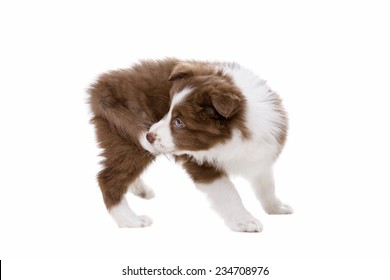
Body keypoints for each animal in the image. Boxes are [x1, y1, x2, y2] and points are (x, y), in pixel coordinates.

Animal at [87, 57, 290, 232]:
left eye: (179, 122)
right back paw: (130, 220)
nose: (149, 135)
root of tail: (102, 86)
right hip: (127, 139)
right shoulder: (200, 163)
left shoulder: (261, 152)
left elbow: (266, 184)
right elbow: (228, 190)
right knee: (109, 178)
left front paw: (275, 207)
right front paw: (245, 220)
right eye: (168, 110)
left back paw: (140, 190)